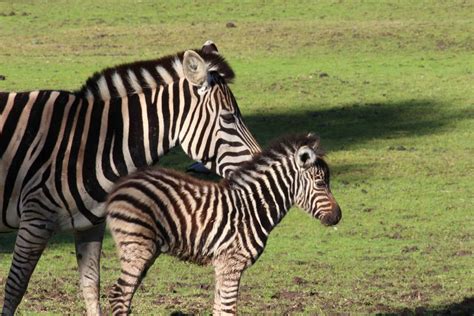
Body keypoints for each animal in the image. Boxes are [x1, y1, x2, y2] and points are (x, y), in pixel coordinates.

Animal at [0, 40, 260, 314]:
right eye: (228, 117)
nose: (259, 161)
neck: (97, 141)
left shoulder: (90, 225)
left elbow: (91, 286)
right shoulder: (35, 218)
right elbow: (15, 287)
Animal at [106, 133, 342, 314]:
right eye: (321, 183)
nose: (338, 217)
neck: (252, 208)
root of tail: (120, 186)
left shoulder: (222, 265)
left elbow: (219, 309)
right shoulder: (232, 263)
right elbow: (228, 310)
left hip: (146, 249)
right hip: (137, 246)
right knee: (119, 295)